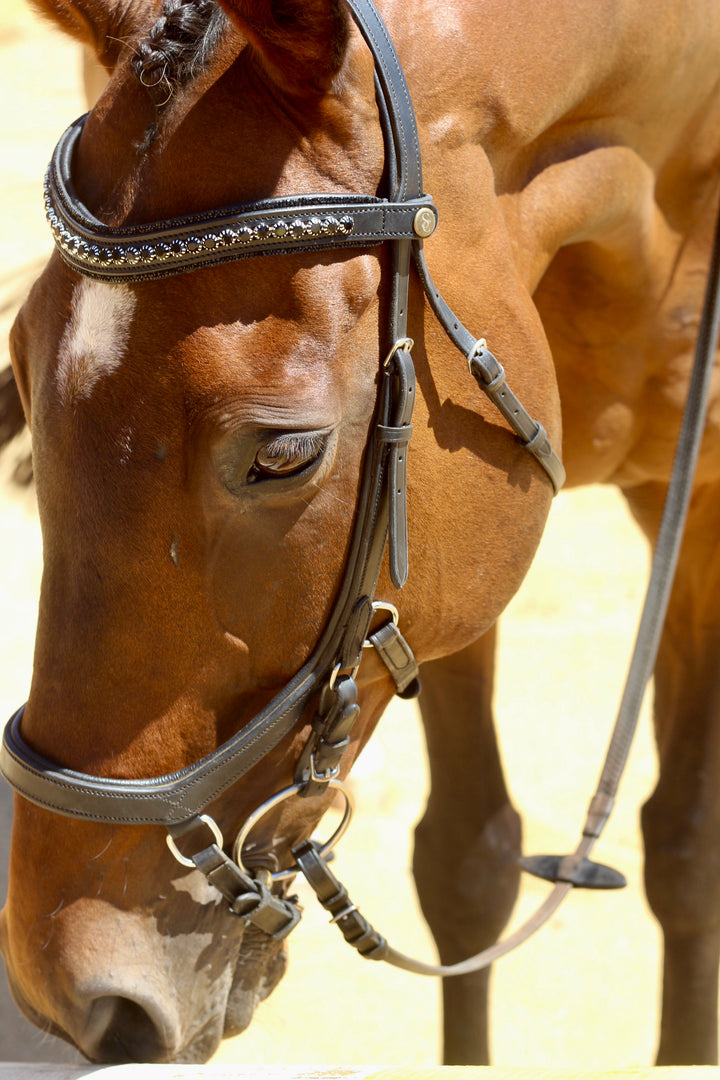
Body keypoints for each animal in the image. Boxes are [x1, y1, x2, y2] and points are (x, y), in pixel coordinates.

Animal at [1, 0, 720, 1067]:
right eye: (20, 364)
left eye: (285, 453)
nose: (76, 990)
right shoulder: (437, 572)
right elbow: (466, 861)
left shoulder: (701, 505)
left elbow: (686, 857)